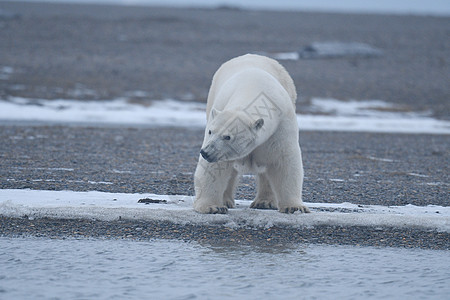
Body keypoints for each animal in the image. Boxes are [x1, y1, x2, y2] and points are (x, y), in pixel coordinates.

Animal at [193, 53, 310, 213]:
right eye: (211, 131)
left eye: (228, 137)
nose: (206, 152)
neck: (253, 88)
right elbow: (214, 168)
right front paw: (212, 207)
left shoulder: (280, 126)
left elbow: (284, 162)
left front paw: (295, 207)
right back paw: (226, 201)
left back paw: (265, 202)